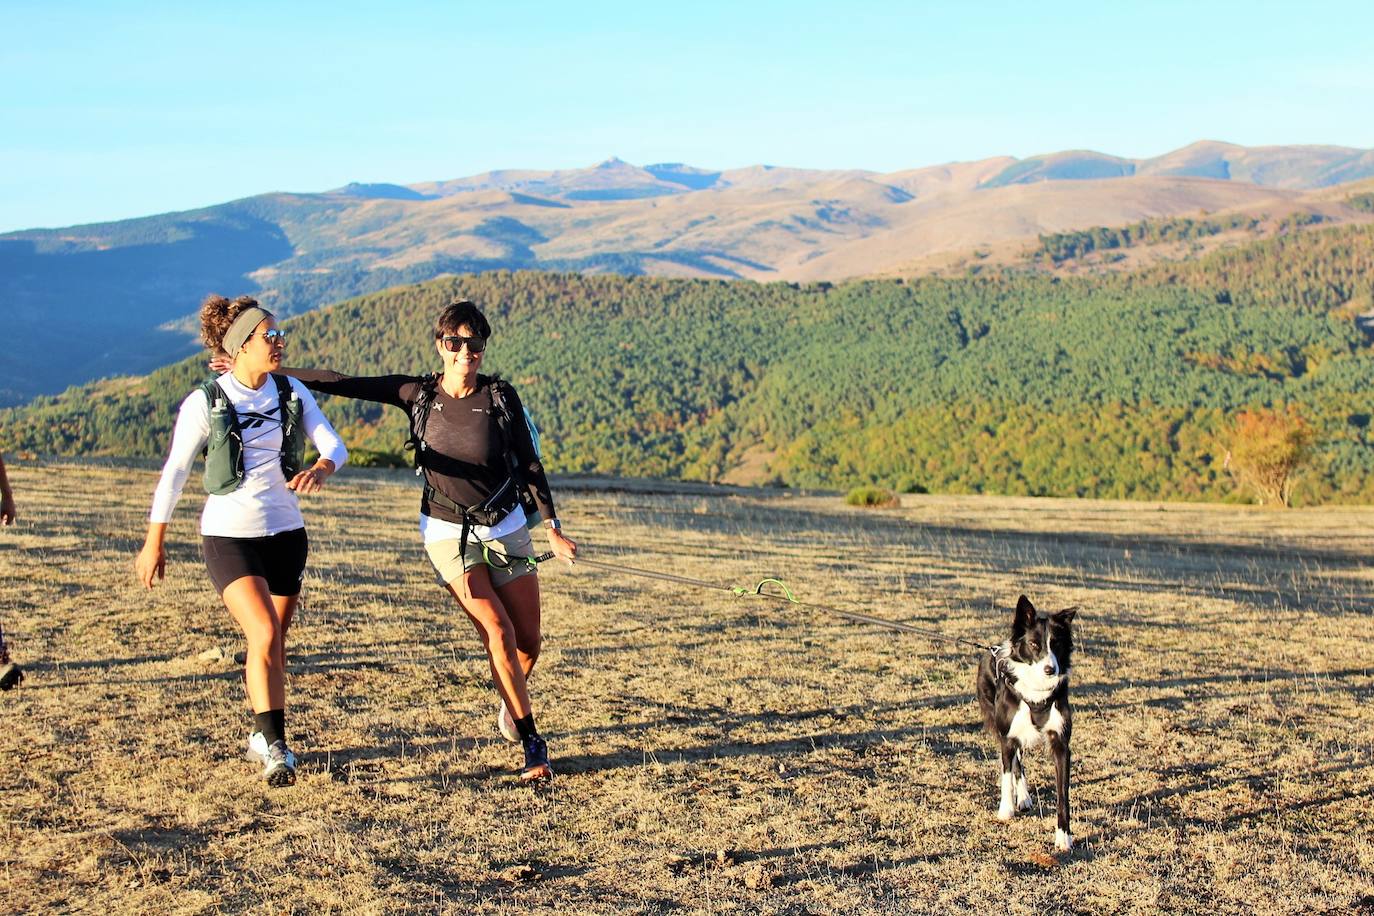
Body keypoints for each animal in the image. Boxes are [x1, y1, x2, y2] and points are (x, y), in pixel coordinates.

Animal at [972, 596, 1077, 851]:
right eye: (1034, 644)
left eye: (1056, 644)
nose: (1050, 669)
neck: (1037, 691)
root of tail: (992, 650)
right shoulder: (1008, 736)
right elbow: (1007, 773)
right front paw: (1006, 809)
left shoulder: (1061, 743)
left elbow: (1063, 794)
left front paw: (1063, 836)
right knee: (1015, 763)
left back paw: (1025, 798)